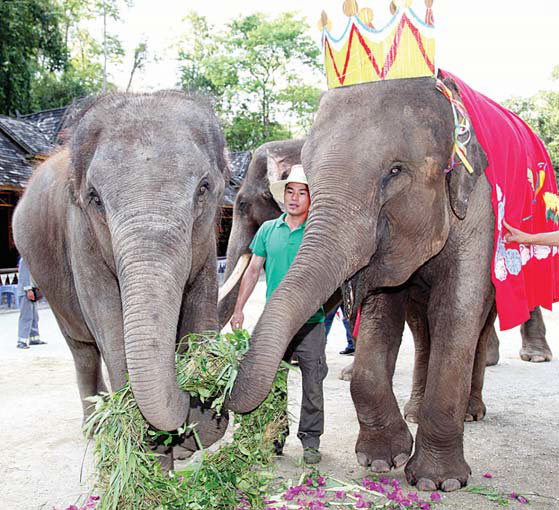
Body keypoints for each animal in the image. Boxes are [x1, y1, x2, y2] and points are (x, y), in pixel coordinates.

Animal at [14, 89, 231, 460]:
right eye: (95, 198)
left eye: (204, 188)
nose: (191, 399)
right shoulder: (81, 236)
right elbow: (108, 320)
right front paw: (150, 452)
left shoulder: (205, 247)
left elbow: (201, 306)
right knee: (83, 348)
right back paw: (95, 427)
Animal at [228, 76, 556, 490]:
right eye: (309, 178)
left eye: (395, 171)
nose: (224, 398)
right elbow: (381, 316)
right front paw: (383, 460)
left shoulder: (478, 210)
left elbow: (457, 310)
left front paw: (438, 482)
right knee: (422, 326)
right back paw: (416, 411)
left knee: (478, 321)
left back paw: (484, 401)